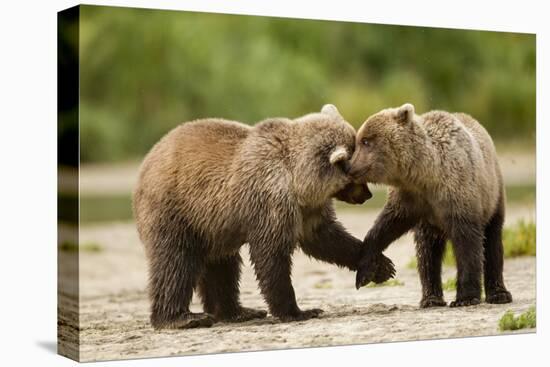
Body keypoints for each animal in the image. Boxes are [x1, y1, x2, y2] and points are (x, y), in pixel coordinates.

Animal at [134, 105, 396, 330]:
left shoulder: (308, 210)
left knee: (222, 267)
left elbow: (327, 239)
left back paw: (238, 312)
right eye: (357, 173)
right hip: (176, 211)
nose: (368, 195)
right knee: (175, 262)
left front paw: (381, 266)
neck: (299, 181)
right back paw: (183, 318)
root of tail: (145, 164)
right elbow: (271, 255)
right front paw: (299, 311)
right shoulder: (270, 201)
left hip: (212, 226)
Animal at [352, 103, 516, 308]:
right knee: (428, 253)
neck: (426, 174)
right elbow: (386, 226)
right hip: (430, 225)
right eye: (359, 140)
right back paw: (430, 298)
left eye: (366, 141)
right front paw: (365, 272)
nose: (349, 166)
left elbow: (468, 245)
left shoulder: (458, 194)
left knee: (493, 241)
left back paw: (499, 294)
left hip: (493, 195)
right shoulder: (411, 199)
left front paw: (466, 298)